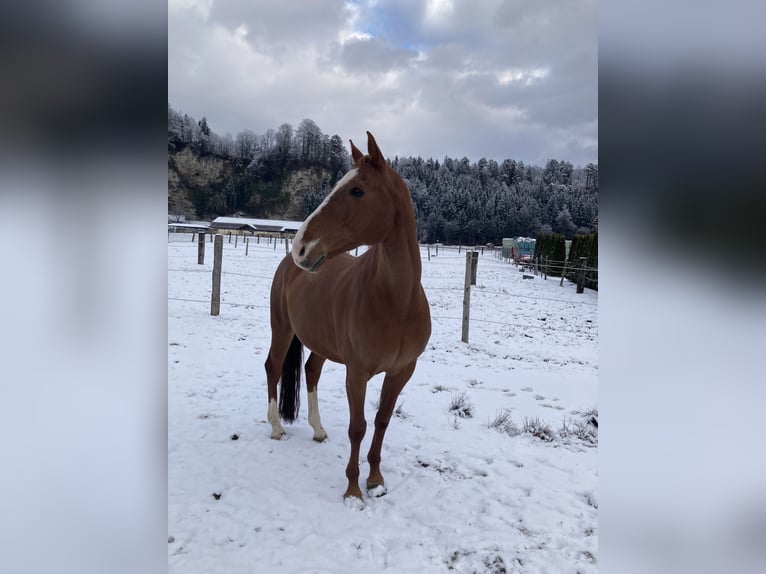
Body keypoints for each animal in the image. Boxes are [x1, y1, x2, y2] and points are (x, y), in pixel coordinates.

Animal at [264, 130, 432, 500]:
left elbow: (382, 420)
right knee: (272, 367)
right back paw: (276, 427)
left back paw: (318, 429)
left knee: (310, 371)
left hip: (320, 342)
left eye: (357, 190)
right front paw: (353, 490)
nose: (300, 246)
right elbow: (358, 427)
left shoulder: (401, 371)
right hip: (282, 329)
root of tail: (287, 266)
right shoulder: (357, 372)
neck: (396, 302)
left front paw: (376, 480)